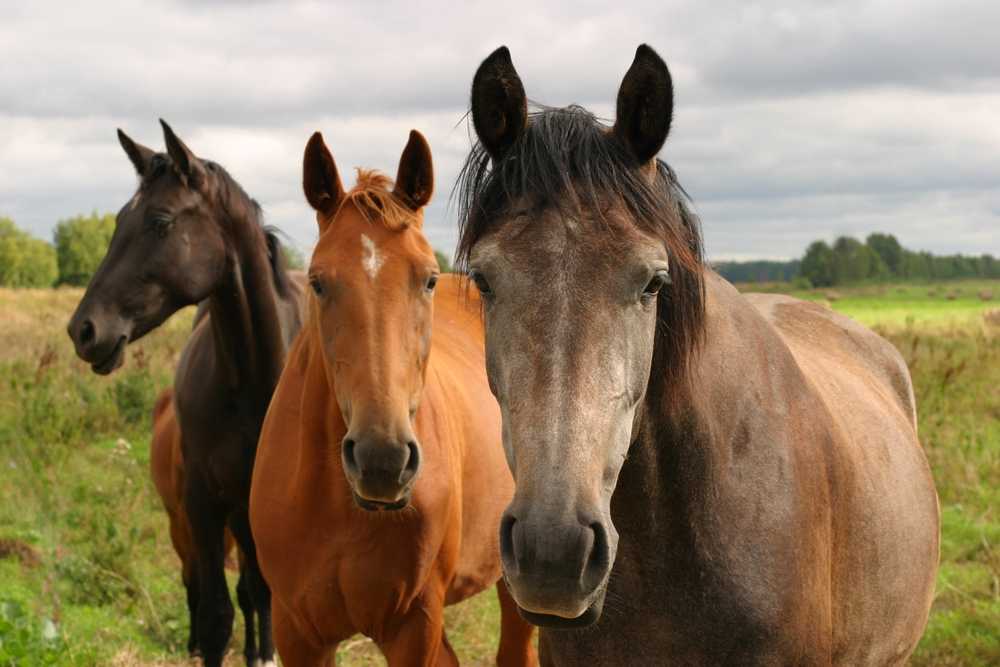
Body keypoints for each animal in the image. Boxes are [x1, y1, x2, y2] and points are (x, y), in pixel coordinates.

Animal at [67, 121, 306, 667]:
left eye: (160, 221)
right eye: (119, 219)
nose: (83, 330)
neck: (256, 384)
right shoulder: (203, 503)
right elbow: (217, 615)